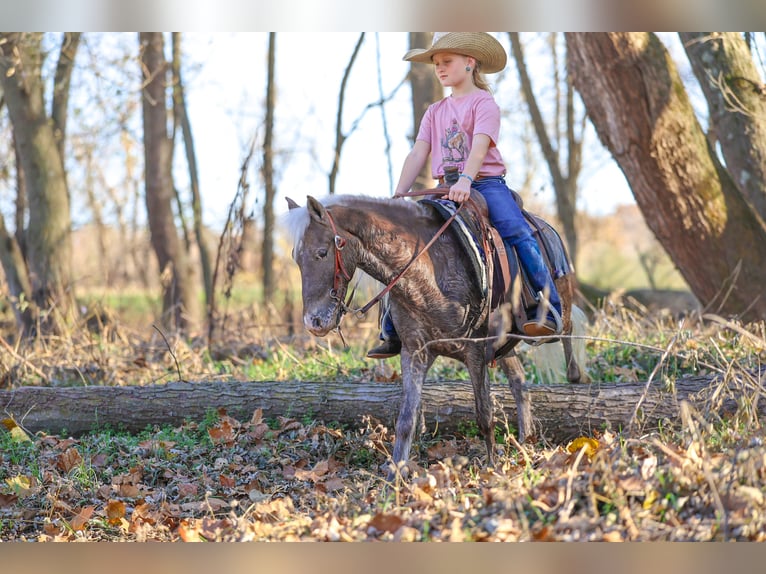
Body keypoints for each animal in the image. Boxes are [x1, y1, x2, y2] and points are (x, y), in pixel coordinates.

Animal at [283, 191, 587, 477]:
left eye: (322, 252)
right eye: (296, 258)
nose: (314, 322)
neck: (426, 272)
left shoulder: (475, 351)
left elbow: (484, 414)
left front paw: (491, 468)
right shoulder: (415, 351)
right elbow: (406, 420)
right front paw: (396, 475)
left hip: (554, 314)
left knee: (570, 328)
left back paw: (574, 373)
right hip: (504, 343)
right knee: (519, 382)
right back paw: (525, 441)